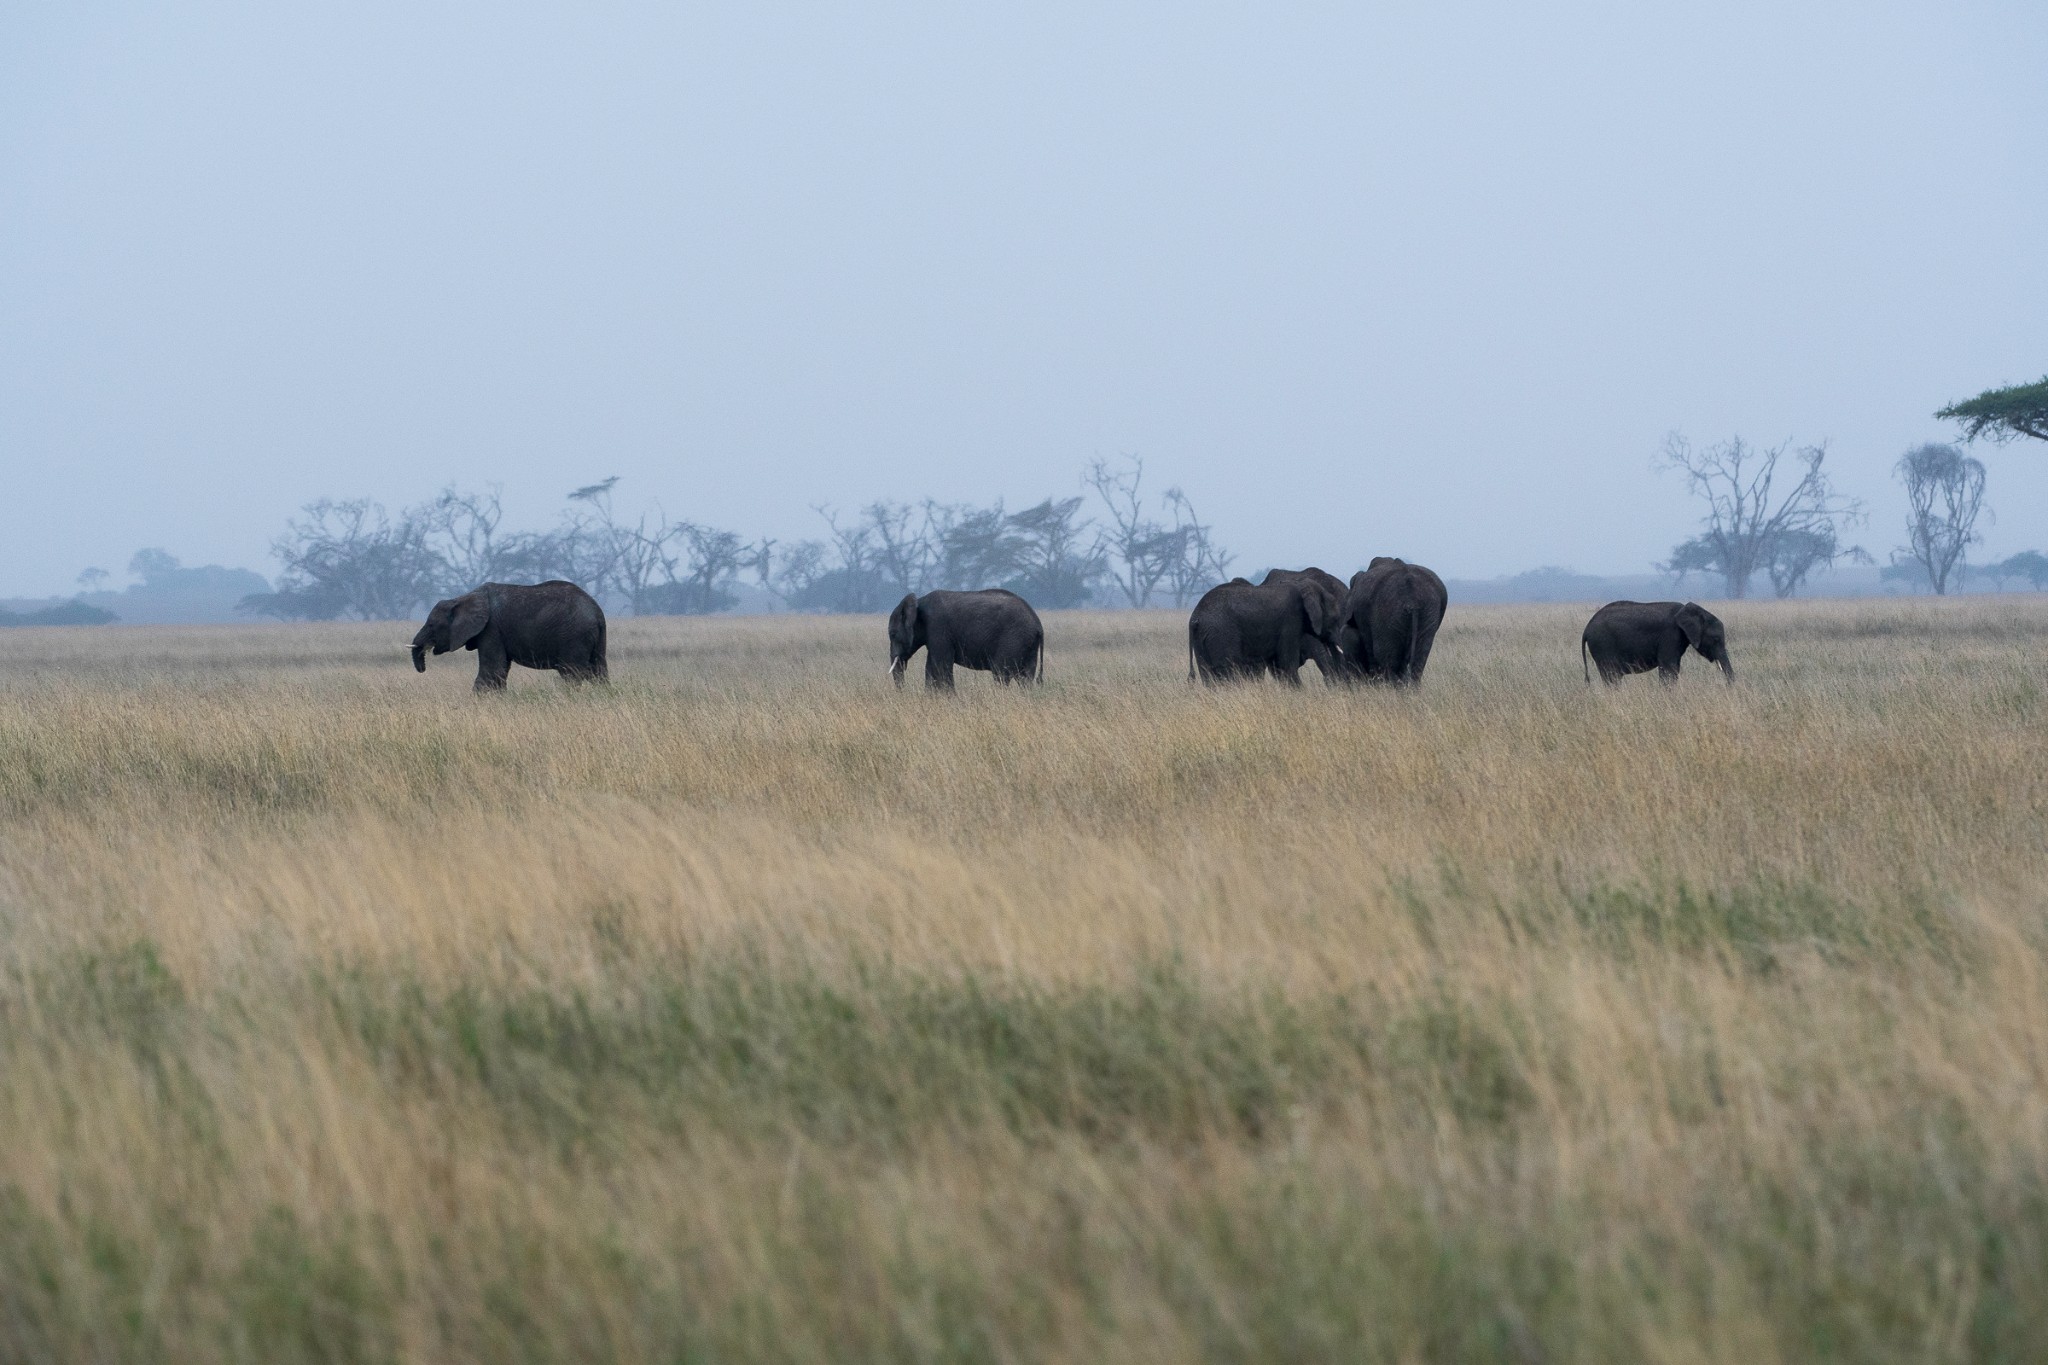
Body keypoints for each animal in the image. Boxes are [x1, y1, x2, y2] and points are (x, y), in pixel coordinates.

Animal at [407, 581, 606, 695]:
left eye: (431, 625)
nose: (422, 669)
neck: (461, 598)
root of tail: (597, 612)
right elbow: (500, 670)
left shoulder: (491, 629)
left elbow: (492, 669)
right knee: (597, 670)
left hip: (574, 636)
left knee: (571, 673)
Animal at [884, 589, 1040, 695]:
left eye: (893, 634)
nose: (902, 692)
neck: (918, 603)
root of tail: (1037, 623)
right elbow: (931, 666)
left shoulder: (938, 628)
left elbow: (941, 665)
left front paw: (950, 698)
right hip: (1027, 644)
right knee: (1025, 677)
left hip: (1013, 639)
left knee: (1001, 673)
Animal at [1187, 573, 1343, 683]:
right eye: (1335, 618)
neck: (1301, 585)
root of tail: (1195, 618)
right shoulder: (1290, 622)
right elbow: (1287, 664)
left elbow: (1278, 666)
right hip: (1221, 634)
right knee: (1228, 671)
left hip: (1203, 637)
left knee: (1207, 674)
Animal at [1581, 601, 1728, 687]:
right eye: (1716, 639)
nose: (1726, 687)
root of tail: (1587, 628)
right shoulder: (1670, 635)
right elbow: (1669, 668)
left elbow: (1674, 668)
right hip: (1603, 644)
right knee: (1612, 676)